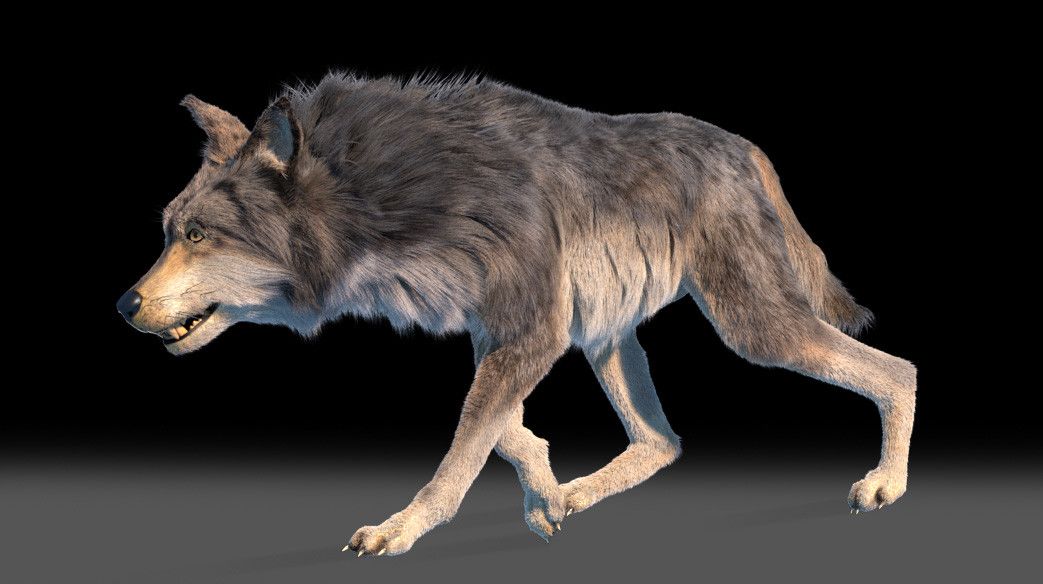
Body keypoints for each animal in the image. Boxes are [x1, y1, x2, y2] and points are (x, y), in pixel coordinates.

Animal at [117, 72, 916, 556]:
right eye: (167, 230)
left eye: (198, 236)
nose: (124, 304)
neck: (381, 199)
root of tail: (744, 145)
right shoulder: (501, 331)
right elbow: (497, 432)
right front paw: (544, 489)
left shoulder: (533, 332)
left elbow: (462, 451)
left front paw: (402, 528)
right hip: (606, 339)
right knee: (662, 443)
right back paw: (574, 496)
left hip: (753, 327)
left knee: (898, 370)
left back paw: (884, 487)